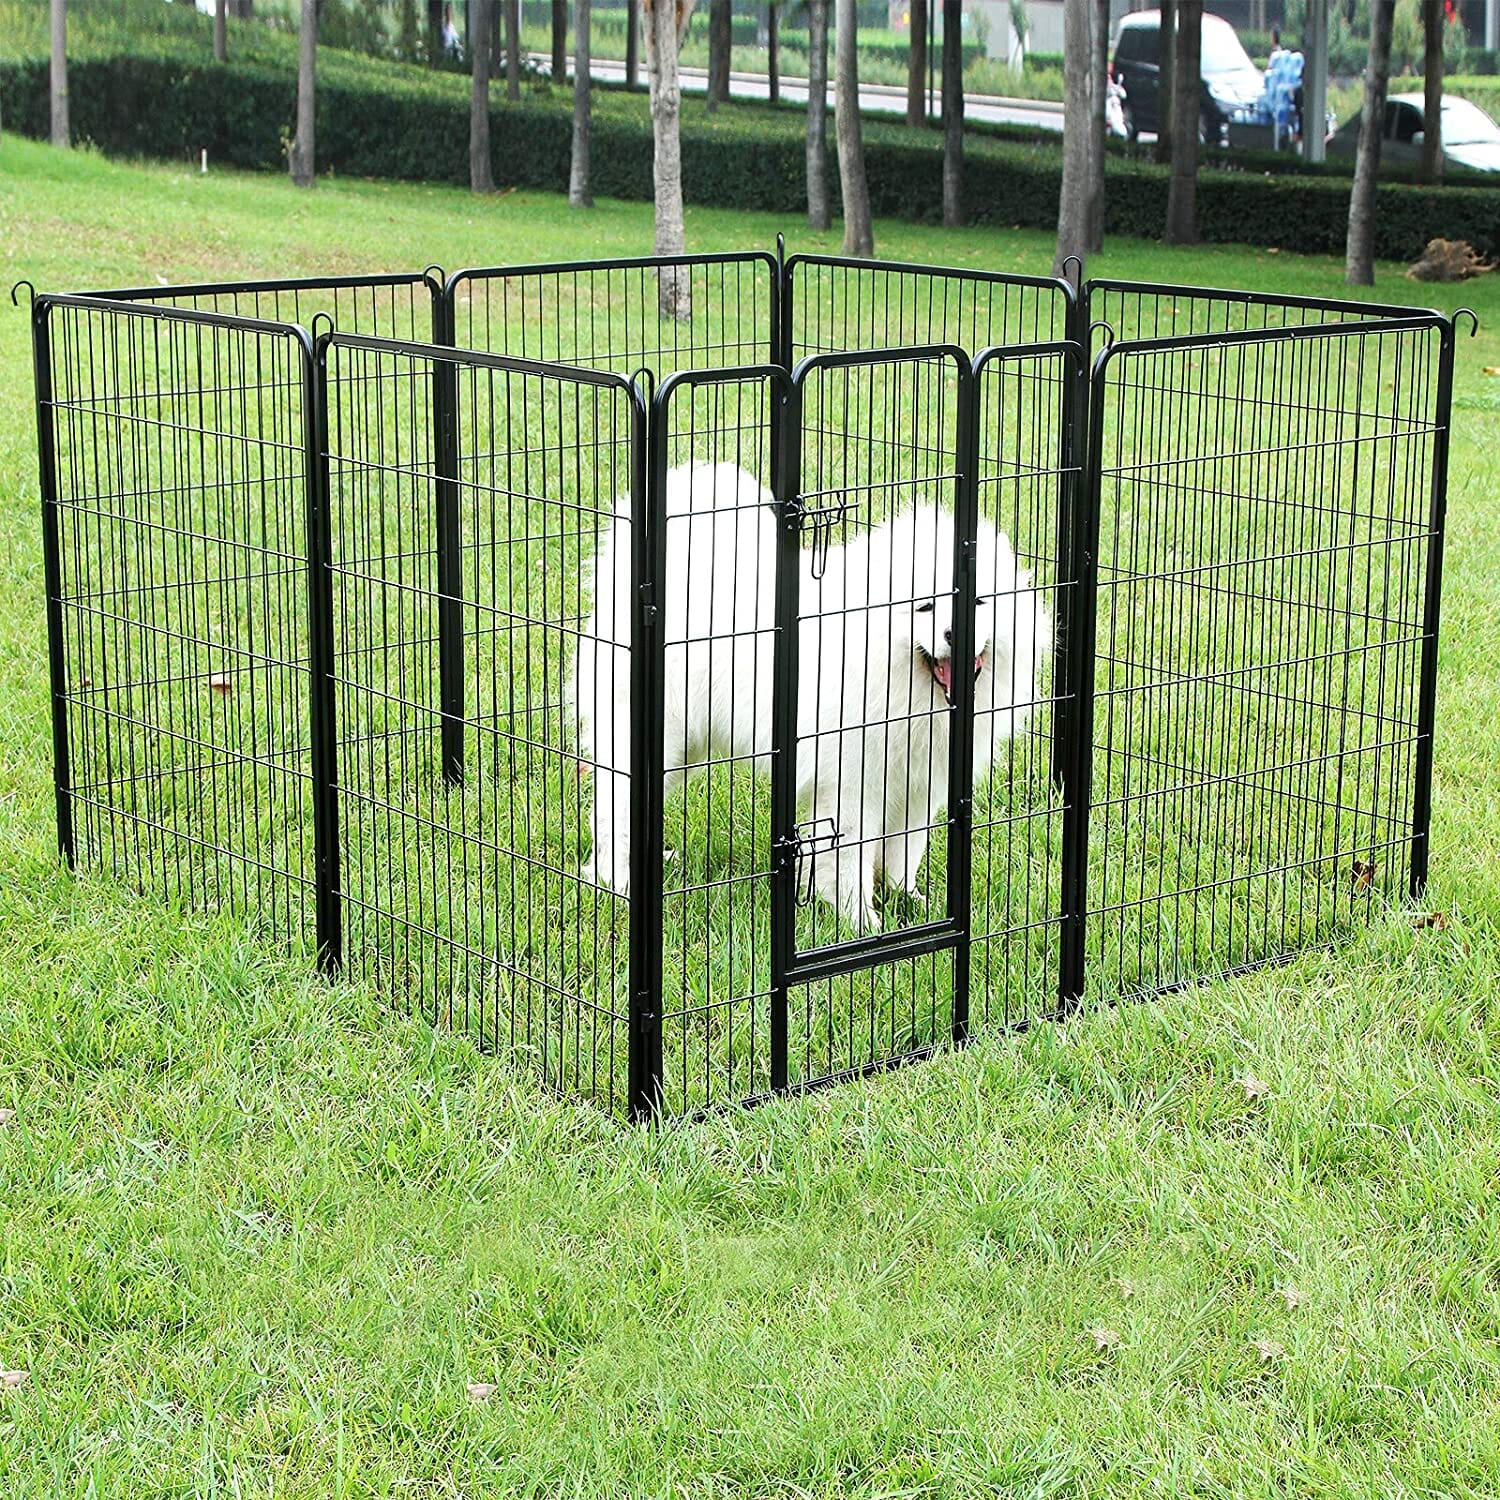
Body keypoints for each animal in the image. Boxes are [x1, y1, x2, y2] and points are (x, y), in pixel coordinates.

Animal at [569, 462, 1052, 931]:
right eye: (925, 607)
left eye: (980, 602)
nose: (955, 633)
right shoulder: (852, 782)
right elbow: (850, 858)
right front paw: (860, 923)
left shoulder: (919, 781)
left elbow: (905, 850)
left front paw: (910, 903)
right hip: (655, 738)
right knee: (613, 808)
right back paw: (614, 880)